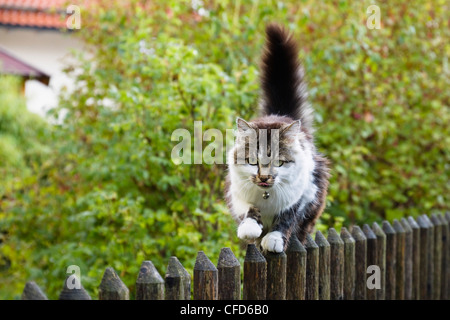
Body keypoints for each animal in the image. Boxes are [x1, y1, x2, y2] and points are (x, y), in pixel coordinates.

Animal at [227, 23, 328, 252]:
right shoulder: (238, 193)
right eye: (252, 161)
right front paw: (250, 228)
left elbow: (286, 218)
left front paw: (273, 240)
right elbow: (249, 210)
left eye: (279, 162)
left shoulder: (301, 196)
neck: (267, 196)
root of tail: (281, 114)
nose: (264, 178)